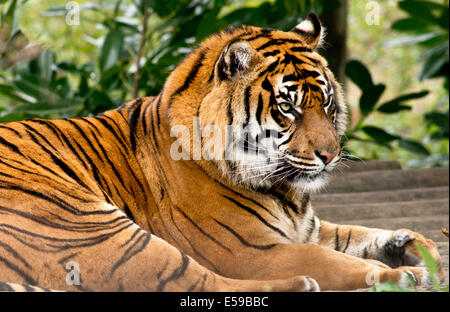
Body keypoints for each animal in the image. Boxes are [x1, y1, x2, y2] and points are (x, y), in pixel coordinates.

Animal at [0, 13, 442, 292]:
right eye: (288, 106)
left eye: (327, 102)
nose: (330, 156)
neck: (286, 193)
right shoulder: (250, 250)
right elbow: (334, 260)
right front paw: (402, 274)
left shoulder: (306, 227)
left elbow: (354, 235)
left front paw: (412, 245)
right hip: (96, 227)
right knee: (190, 281)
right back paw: (302, 286)